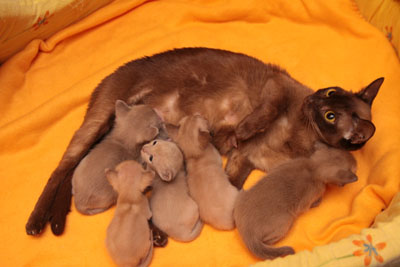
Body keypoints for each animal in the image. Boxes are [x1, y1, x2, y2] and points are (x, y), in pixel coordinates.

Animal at [26, 47, 382, 236]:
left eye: (330, 115)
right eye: (330, 96)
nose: (314, 101)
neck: (301, 136)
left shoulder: (245, 160)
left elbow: (230, 185)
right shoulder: (276, 88)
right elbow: (262, 115)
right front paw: (242, 130)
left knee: (76, 174)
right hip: (97, 123)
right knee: (62, 169)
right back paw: (36, 223)